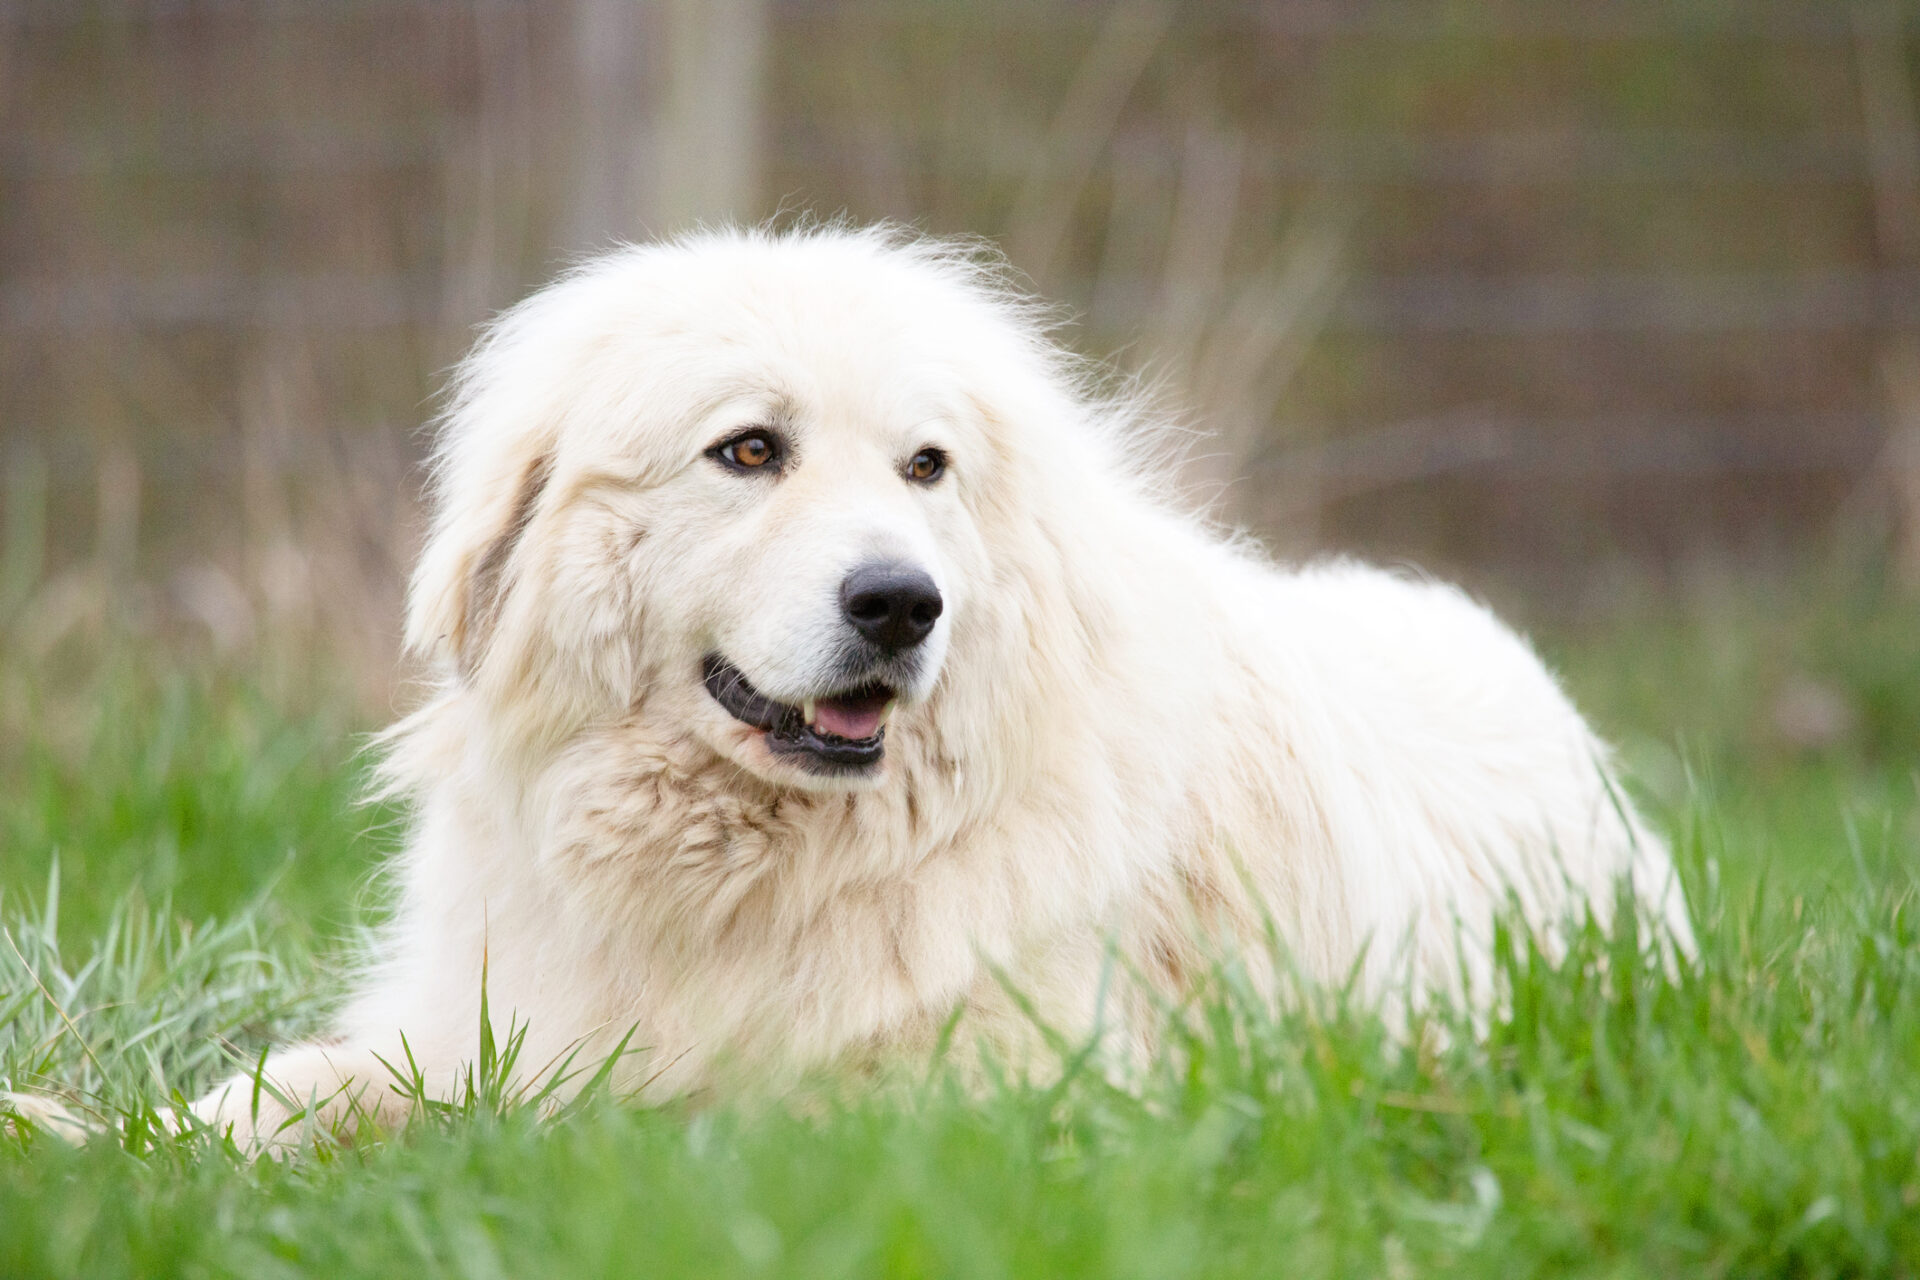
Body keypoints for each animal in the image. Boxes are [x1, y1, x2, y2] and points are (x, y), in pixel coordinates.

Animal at [191, 225, 1697, 1143]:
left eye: (927, 467)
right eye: (750, 451)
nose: (901, 602)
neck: (751, 877)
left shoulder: (985, 1092)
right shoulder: (476, 1018)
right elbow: (277, 1091)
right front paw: (139, 1142)